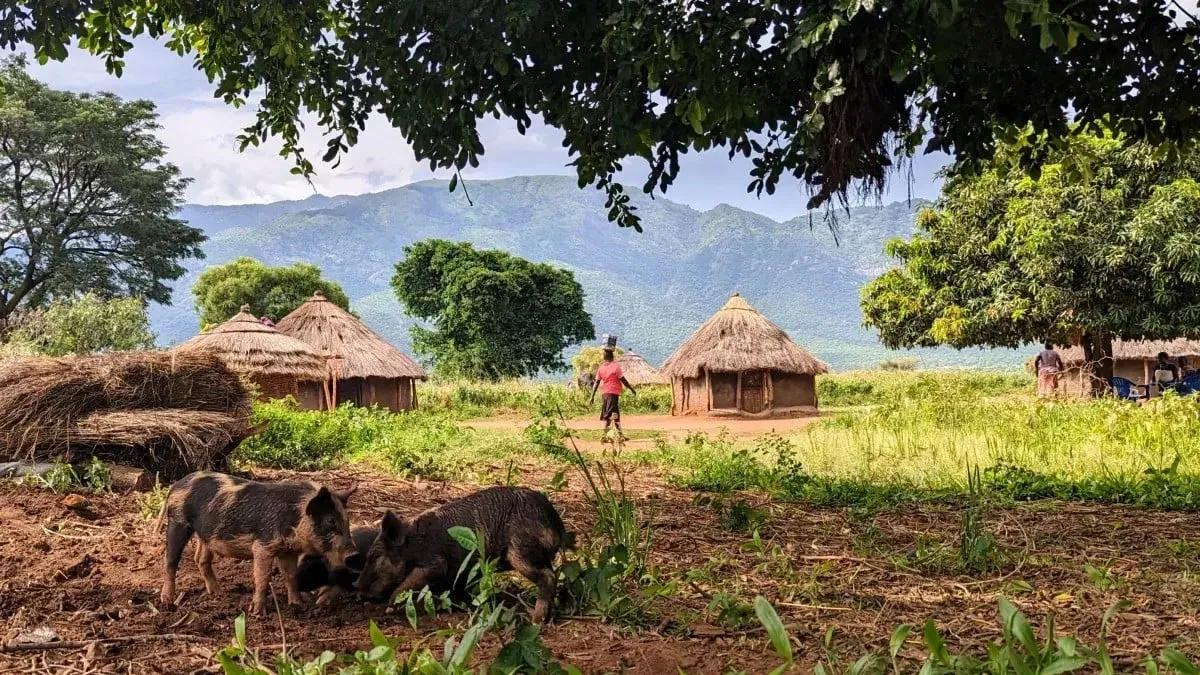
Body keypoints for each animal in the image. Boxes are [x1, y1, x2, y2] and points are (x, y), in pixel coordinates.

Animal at [159, 471, 361, 616]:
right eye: (330, 521)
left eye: (346, 520)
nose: (354, 554)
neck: (294, 518)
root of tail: (177, 484)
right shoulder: (263, 546)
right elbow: (263, 577)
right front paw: (258, 613)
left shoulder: (288, 551)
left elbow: (291, 576)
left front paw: (299, 605)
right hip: (177, 521)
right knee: (170, 561)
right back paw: (167, 601)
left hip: (205, 534)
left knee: (200, 559)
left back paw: (218, 593)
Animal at [356, 486, 567, 623]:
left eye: (375, 556)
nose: (356, 585)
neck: (413, 545)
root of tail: (556, 522)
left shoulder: (435, 562)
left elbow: (411, 581)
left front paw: (389, 608)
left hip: (520, 550)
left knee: (547, 576)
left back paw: (536, 619)